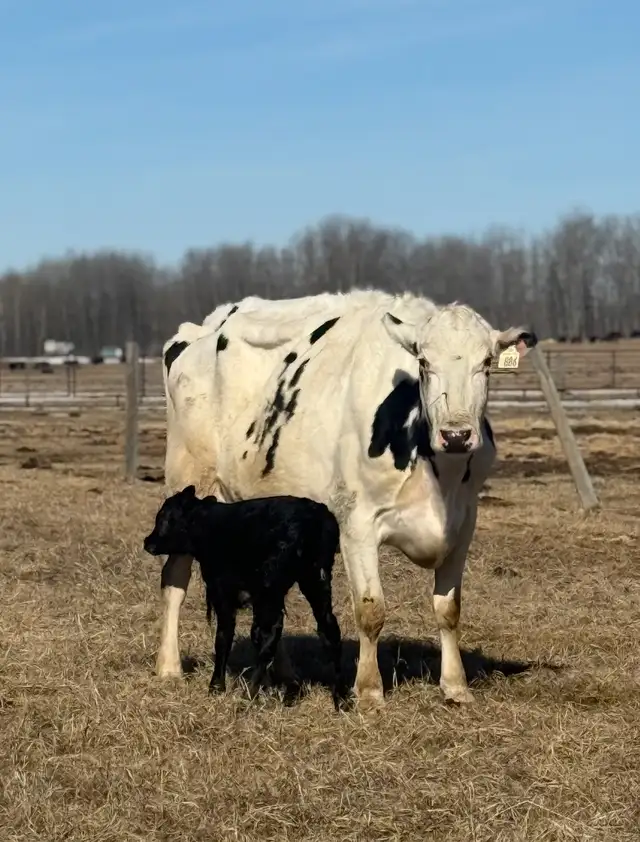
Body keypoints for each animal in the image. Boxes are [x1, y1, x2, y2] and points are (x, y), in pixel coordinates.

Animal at [156, 290, 537, 709]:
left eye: (486, 363)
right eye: (423, 361)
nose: (456, 435)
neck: (439, 476)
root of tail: (206, 325)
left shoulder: (463, 525)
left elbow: (448, 609)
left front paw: (455, 686)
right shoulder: (357, 523)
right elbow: (371, 610)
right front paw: (369, 691)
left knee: (269, 607)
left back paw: (283, 673)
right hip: (186, 488)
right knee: (174, 578)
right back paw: (169, 667)